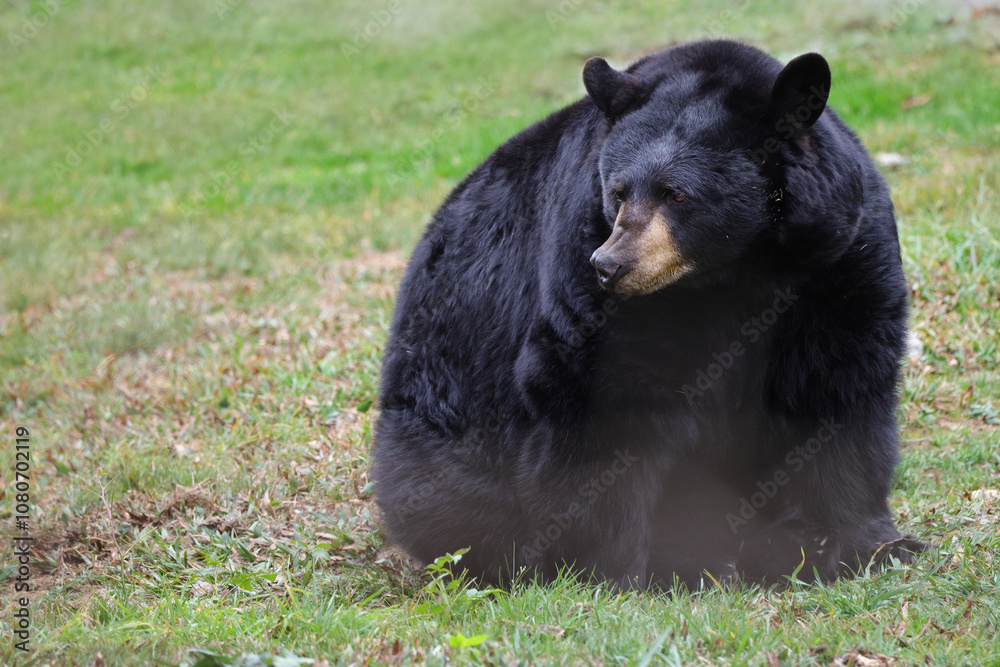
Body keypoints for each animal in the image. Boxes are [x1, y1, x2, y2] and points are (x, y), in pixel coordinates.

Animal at [372, 39, 924, 589]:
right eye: (618, 191)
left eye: (676, 193)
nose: (609, 265)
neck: (735, 270)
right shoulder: (585, 267)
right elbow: (599, 399)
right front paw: (619, 568)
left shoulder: (838, 258)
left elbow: (838, 382)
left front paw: (864, 544)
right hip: (440, 427)